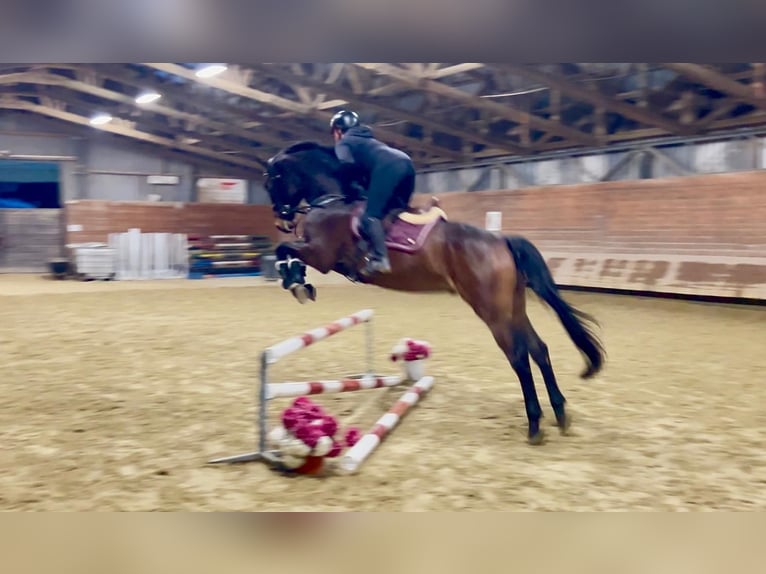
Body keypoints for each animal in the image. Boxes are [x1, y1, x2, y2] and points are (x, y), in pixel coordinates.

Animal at [262, 140, 605, 445]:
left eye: (272, 182)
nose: (281, 220)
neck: (332, 200)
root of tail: (501, 241)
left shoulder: (321, 256)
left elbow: (286, 250)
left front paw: (296, 280)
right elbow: (286, 250)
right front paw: (296, 279)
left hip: (491, 311)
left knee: (519, 356)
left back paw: (534, 424)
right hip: (513, 306)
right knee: (539, 349)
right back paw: (560, 413)